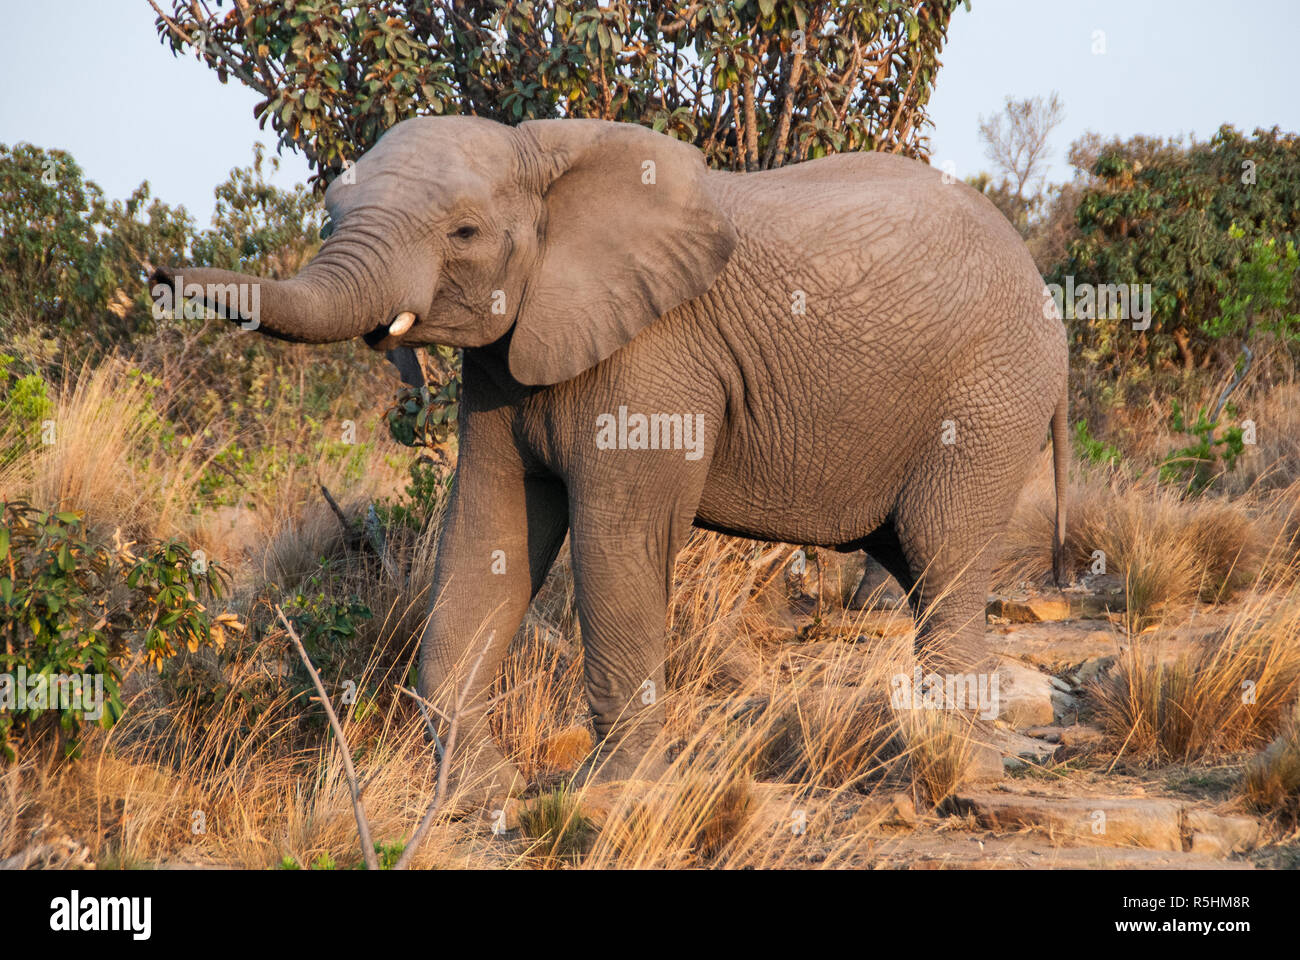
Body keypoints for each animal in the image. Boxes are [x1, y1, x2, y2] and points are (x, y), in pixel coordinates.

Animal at [149, 111, 1066, 790]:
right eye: (330, 219)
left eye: (465, 231)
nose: (157, 275)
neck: (543, 155)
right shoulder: (505, 356)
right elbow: (489, 535)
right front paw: (479, 794)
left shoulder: (655, 356)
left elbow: (614, 541)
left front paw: (613, 792)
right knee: (921, 563)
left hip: (990, 395)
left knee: (945, 554)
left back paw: (964, 769)